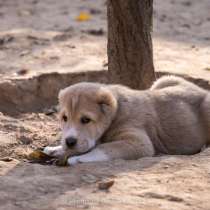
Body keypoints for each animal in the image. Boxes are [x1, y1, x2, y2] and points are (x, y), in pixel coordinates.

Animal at [43, 76, 210, 166]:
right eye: (64, 118)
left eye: (86, 119)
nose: (69, 142)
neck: (116, 112)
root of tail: (203, 91)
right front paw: (55, 148)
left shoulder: (139, 143)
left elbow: (103, 148)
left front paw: (78, 159)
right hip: (164, 80)